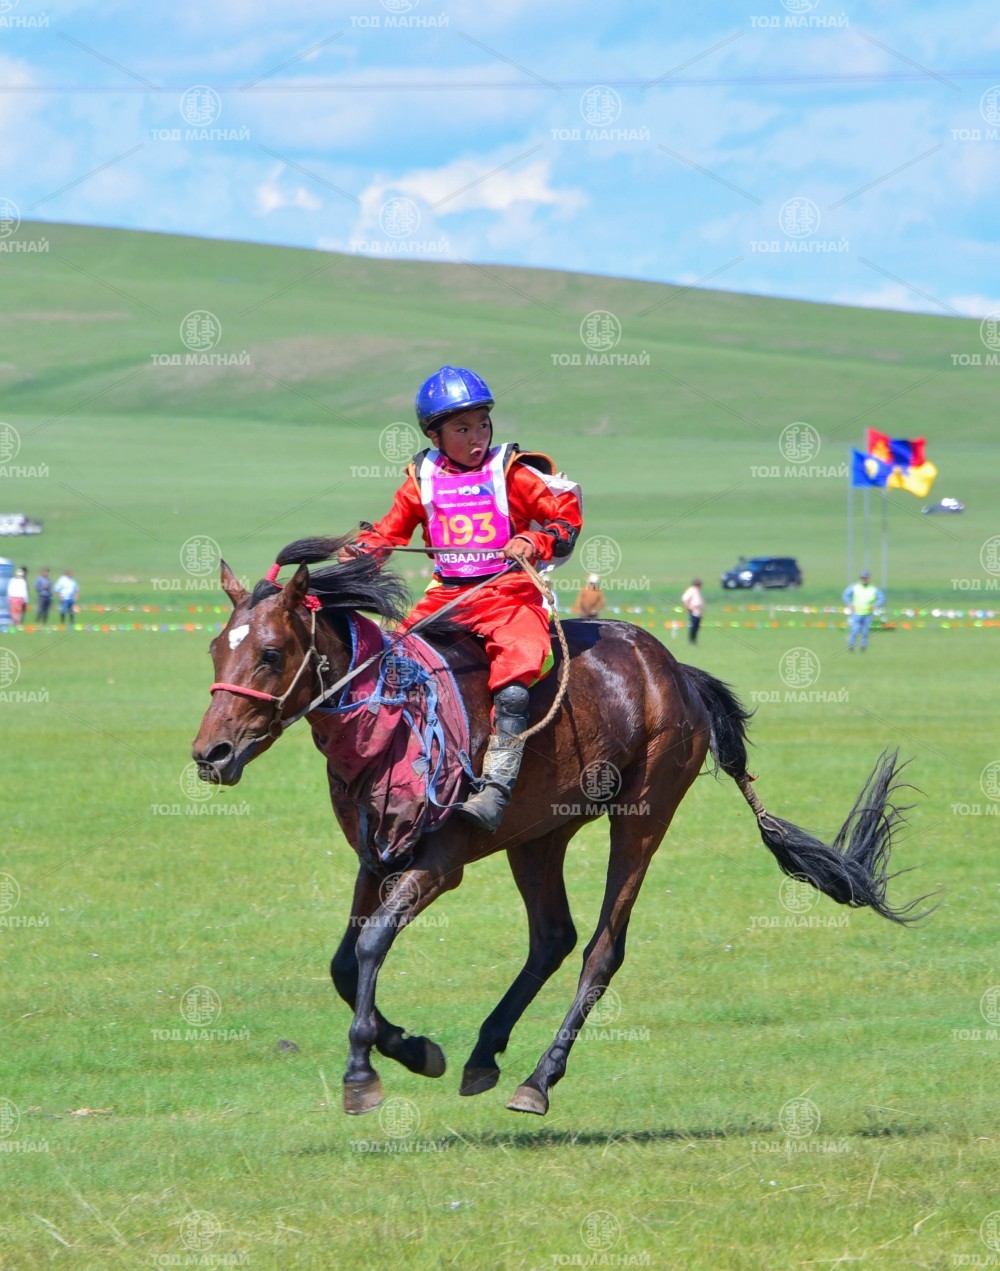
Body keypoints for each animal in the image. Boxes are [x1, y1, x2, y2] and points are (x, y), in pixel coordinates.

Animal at [192, 534, 926, 1118]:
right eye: (215, 650)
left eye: (270, 652)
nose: (211, 753)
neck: (394, 716)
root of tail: (675, 670)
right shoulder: (378, 856)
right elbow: (346, 964)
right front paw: (415, 1047)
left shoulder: (436, 863)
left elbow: (371, 945)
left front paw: (363, 1071)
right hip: (540, 835)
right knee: (553, 936)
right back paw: (485, 1052)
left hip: (644, 815)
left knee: (601, 948)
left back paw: (539, 1077)